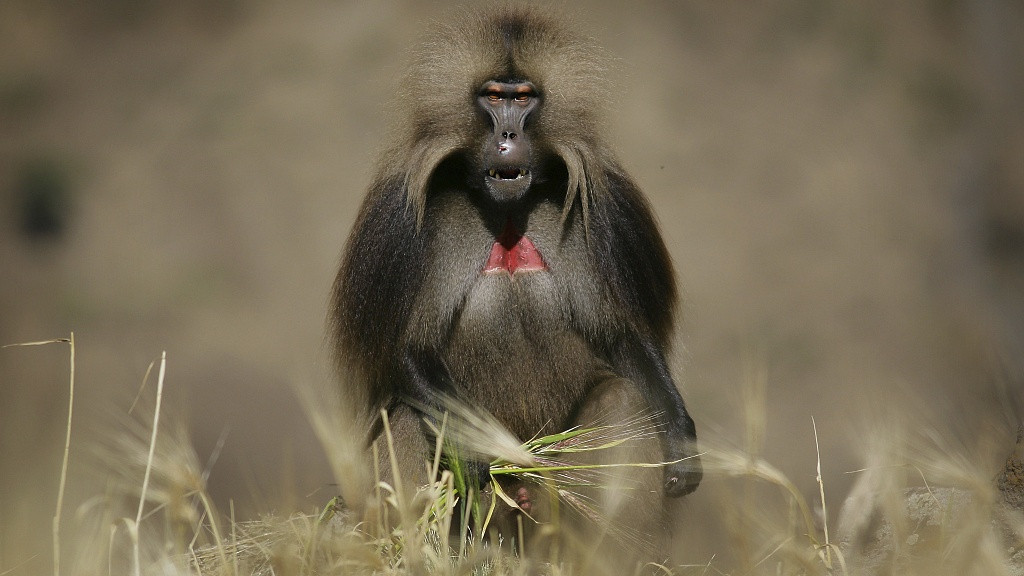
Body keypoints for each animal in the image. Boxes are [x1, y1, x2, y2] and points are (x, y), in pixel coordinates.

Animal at [330, 5, 701, 535]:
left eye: (523, 98)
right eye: (493, 96)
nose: (507, 138)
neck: (506, 212)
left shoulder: (609, 212)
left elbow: (622, 338)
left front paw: (681, 440)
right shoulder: (398, 224)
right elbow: (406, 353)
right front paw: (478, 453)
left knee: (623, 401)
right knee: (407, 415)